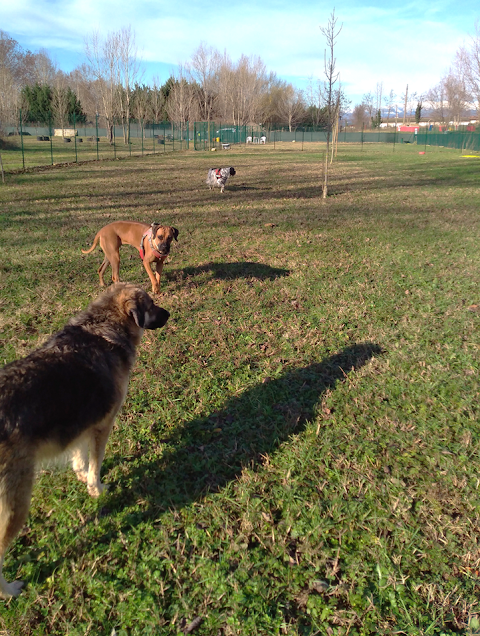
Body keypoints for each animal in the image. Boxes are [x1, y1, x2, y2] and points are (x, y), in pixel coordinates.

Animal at [0, 284, 171, 596]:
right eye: (151, 304)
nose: (169, 313)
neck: (103, 326)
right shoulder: (103, 423)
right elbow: (96, 462)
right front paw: (96, 488)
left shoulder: (84, 422)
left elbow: (79, 455)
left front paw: (80, 474)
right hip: (15, 500)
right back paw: (9, 591)